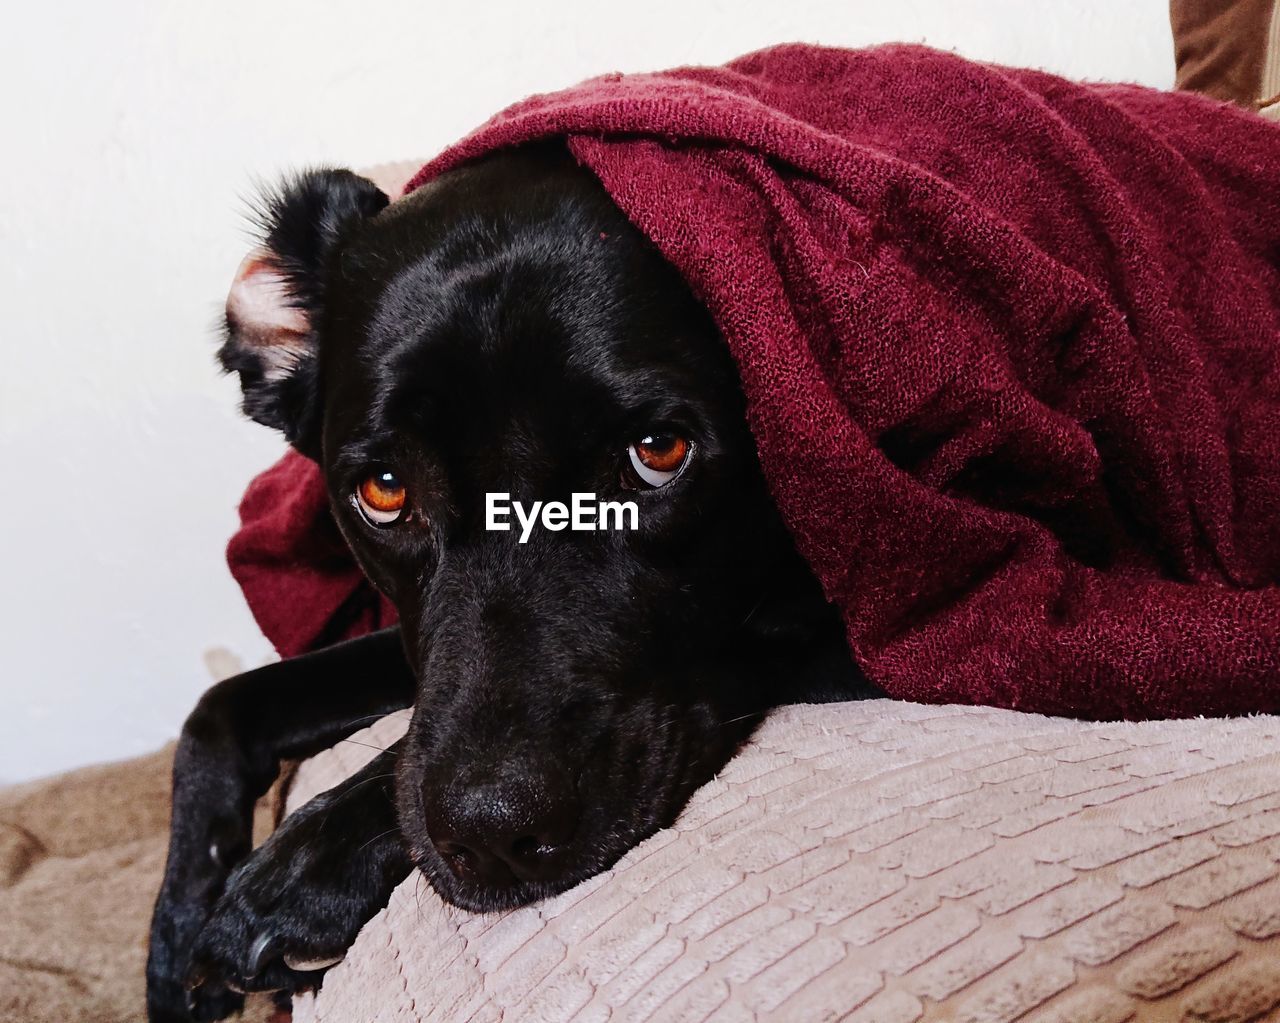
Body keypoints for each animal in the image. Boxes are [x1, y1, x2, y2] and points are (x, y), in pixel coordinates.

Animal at [147, 144, 870, 1023]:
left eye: (659, 450)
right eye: (384, 489)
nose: (494, 839)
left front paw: (300, 876)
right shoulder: (414, 641)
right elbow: (222, 706)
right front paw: (174, 940)